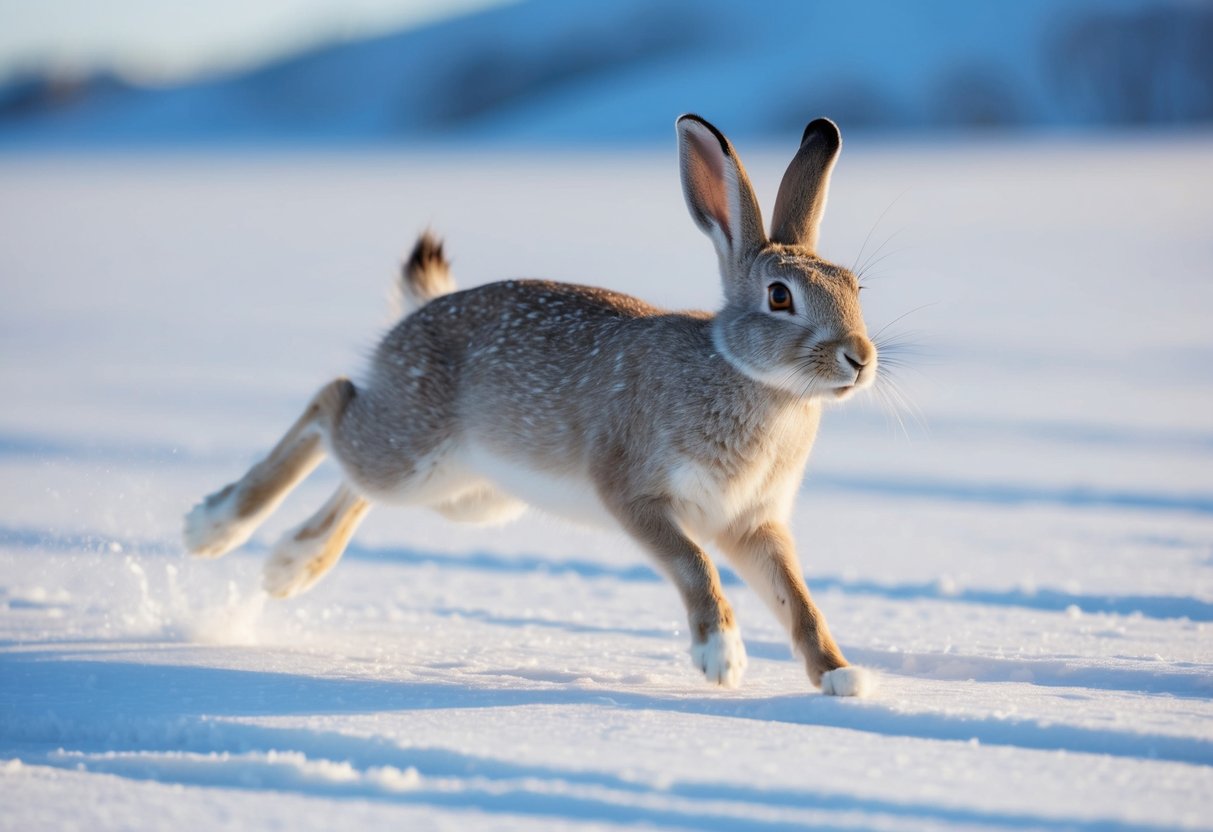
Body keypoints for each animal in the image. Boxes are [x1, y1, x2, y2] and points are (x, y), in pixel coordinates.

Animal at [184, 114, 877, 696]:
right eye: (780, 297)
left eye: (854, 287)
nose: (860, 357)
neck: (751, 378)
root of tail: (410, 322)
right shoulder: (635, 493)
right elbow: (693, 565)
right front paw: (721, 658)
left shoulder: (753, 525)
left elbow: (798, 601)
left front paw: (840, 678)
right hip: (412, 454)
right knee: (332, 401)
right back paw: (214, 527)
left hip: (466, 496)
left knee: (356, 478)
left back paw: (289, 566)